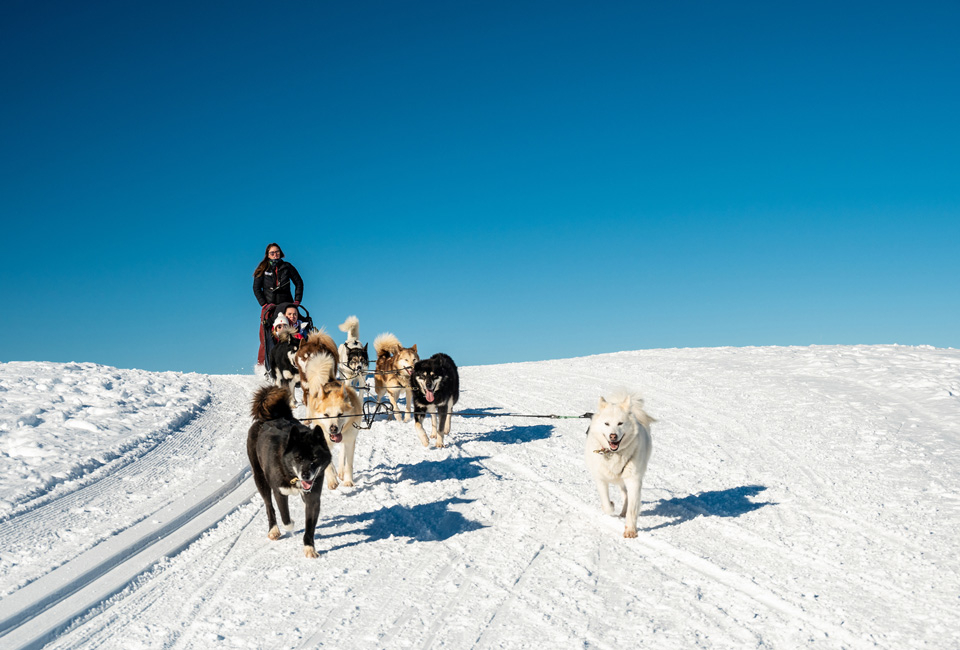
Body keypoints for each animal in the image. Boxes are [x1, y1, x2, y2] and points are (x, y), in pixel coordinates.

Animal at [246, 384, 332, 556]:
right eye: (298, 458)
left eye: (314, 458)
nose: (306, 475)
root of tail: (269, 417)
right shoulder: (279, 492)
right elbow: (286, 519)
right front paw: (291, 523)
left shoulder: (313, 497)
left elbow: (309, 525)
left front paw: (309, 547)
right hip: (260, 479)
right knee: (269, 506)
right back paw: (273, 530)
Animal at [304, 352, 364, 488]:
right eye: (326, 414)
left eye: (340, 414)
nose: (333, 428)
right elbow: (326, 465)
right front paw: (331, 480)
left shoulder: (350, 441)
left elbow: (348, 464)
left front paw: (348, 480)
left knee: (342, 453)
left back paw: (340, 472)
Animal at [580, 390, 656, 536]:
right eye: (607, 424)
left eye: (620, 423)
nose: (613, 436)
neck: (613, 454)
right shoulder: (600, 479)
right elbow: (606, 503)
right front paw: (610, 505)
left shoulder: (633, 480)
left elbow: (633, 508)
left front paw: (631, 530)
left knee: (626, 496)